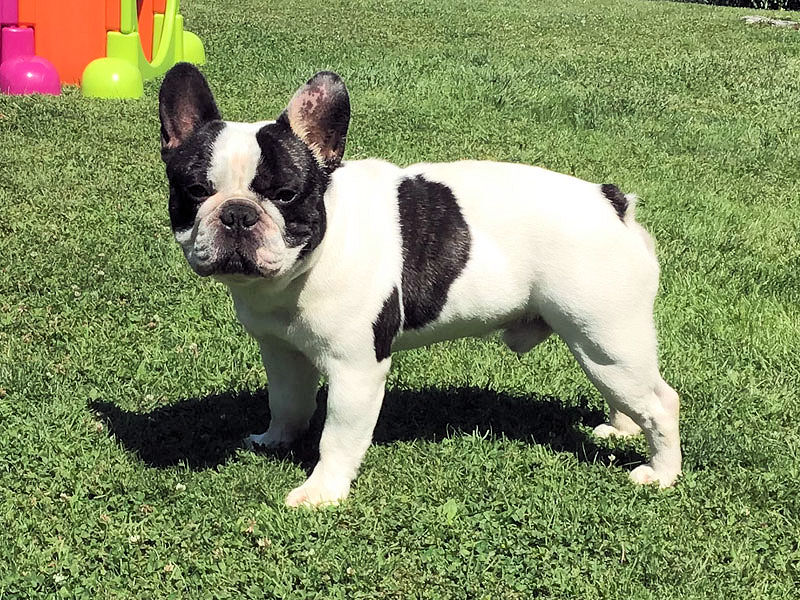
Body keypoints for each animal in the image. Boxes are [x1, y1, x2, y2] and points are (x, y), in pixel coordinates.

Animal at [158, 64, 680, 506]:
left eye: (286, 196)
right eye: (195, 192)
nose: (237, 213)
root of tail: (611, 201)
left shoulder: (356, 369)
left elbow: (338, 436)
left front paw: (323, 492)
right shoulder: (281, 351)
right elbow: (287, 402)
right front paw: (275, 440)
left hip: (605, 335)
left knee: (660, 402)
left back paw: (661, 474)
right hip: (602, 345)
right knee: (630, 393)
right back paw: (621, 430)